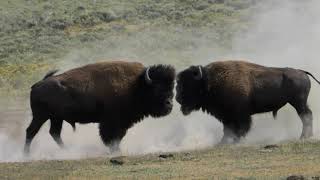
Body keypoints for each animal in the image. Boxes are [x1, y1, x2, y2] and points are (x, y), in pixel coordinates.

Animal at [24, 61, 176, 154]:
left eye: (171, 87)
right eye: (157, 89)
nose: (169, 104)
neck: (136, 85)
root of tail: (37, 85)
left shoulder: (121, 123)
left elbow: (117, 137)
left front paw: (117, 150)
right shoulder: (111, 122)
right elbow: (110, 137)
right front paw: (115, 151)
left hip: (56, 118)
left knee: (54, 133)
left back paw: (66, 151)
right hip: (40, 116)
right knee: (31, 131)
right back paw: (26, 155)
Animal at [176, 60, 318, 143]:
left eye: (188, 84)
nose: (177, 98)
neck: (209, 81)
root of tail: (301, 72)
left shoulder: (240, 115)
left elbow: (241, 128)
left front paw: (237, 141)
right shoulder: (226, 116)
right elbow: (227, 129)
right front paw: (223, 142)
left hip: (298, 103)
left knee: (306, 116)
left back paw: (303, 137)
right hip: (299, 103)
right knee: (307, 115)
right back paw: (307, 136)